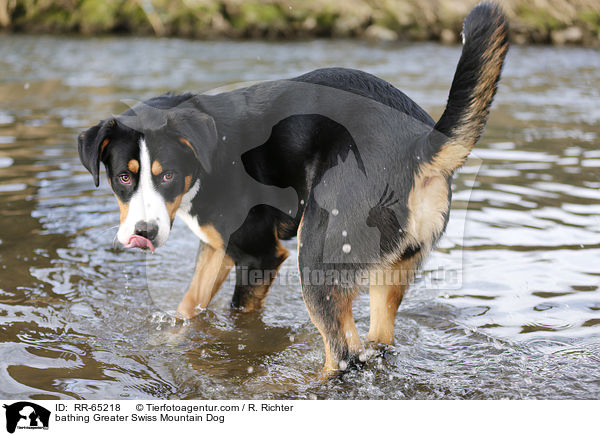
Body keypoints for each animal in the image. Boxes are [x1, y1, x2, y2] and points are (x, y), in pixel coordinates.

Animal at [78, 3, 510, 374]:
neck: (206, 156)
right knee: (376, 346)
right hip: (388, 275)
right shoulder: (217, 249)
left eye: (166, 175)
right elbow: (189, 308)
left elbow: (239, 320)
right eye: (124, 177)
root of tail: (420, 145)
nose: (144, 233)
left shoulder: (259, 256)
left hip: (317, 258)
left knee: (343, 356)